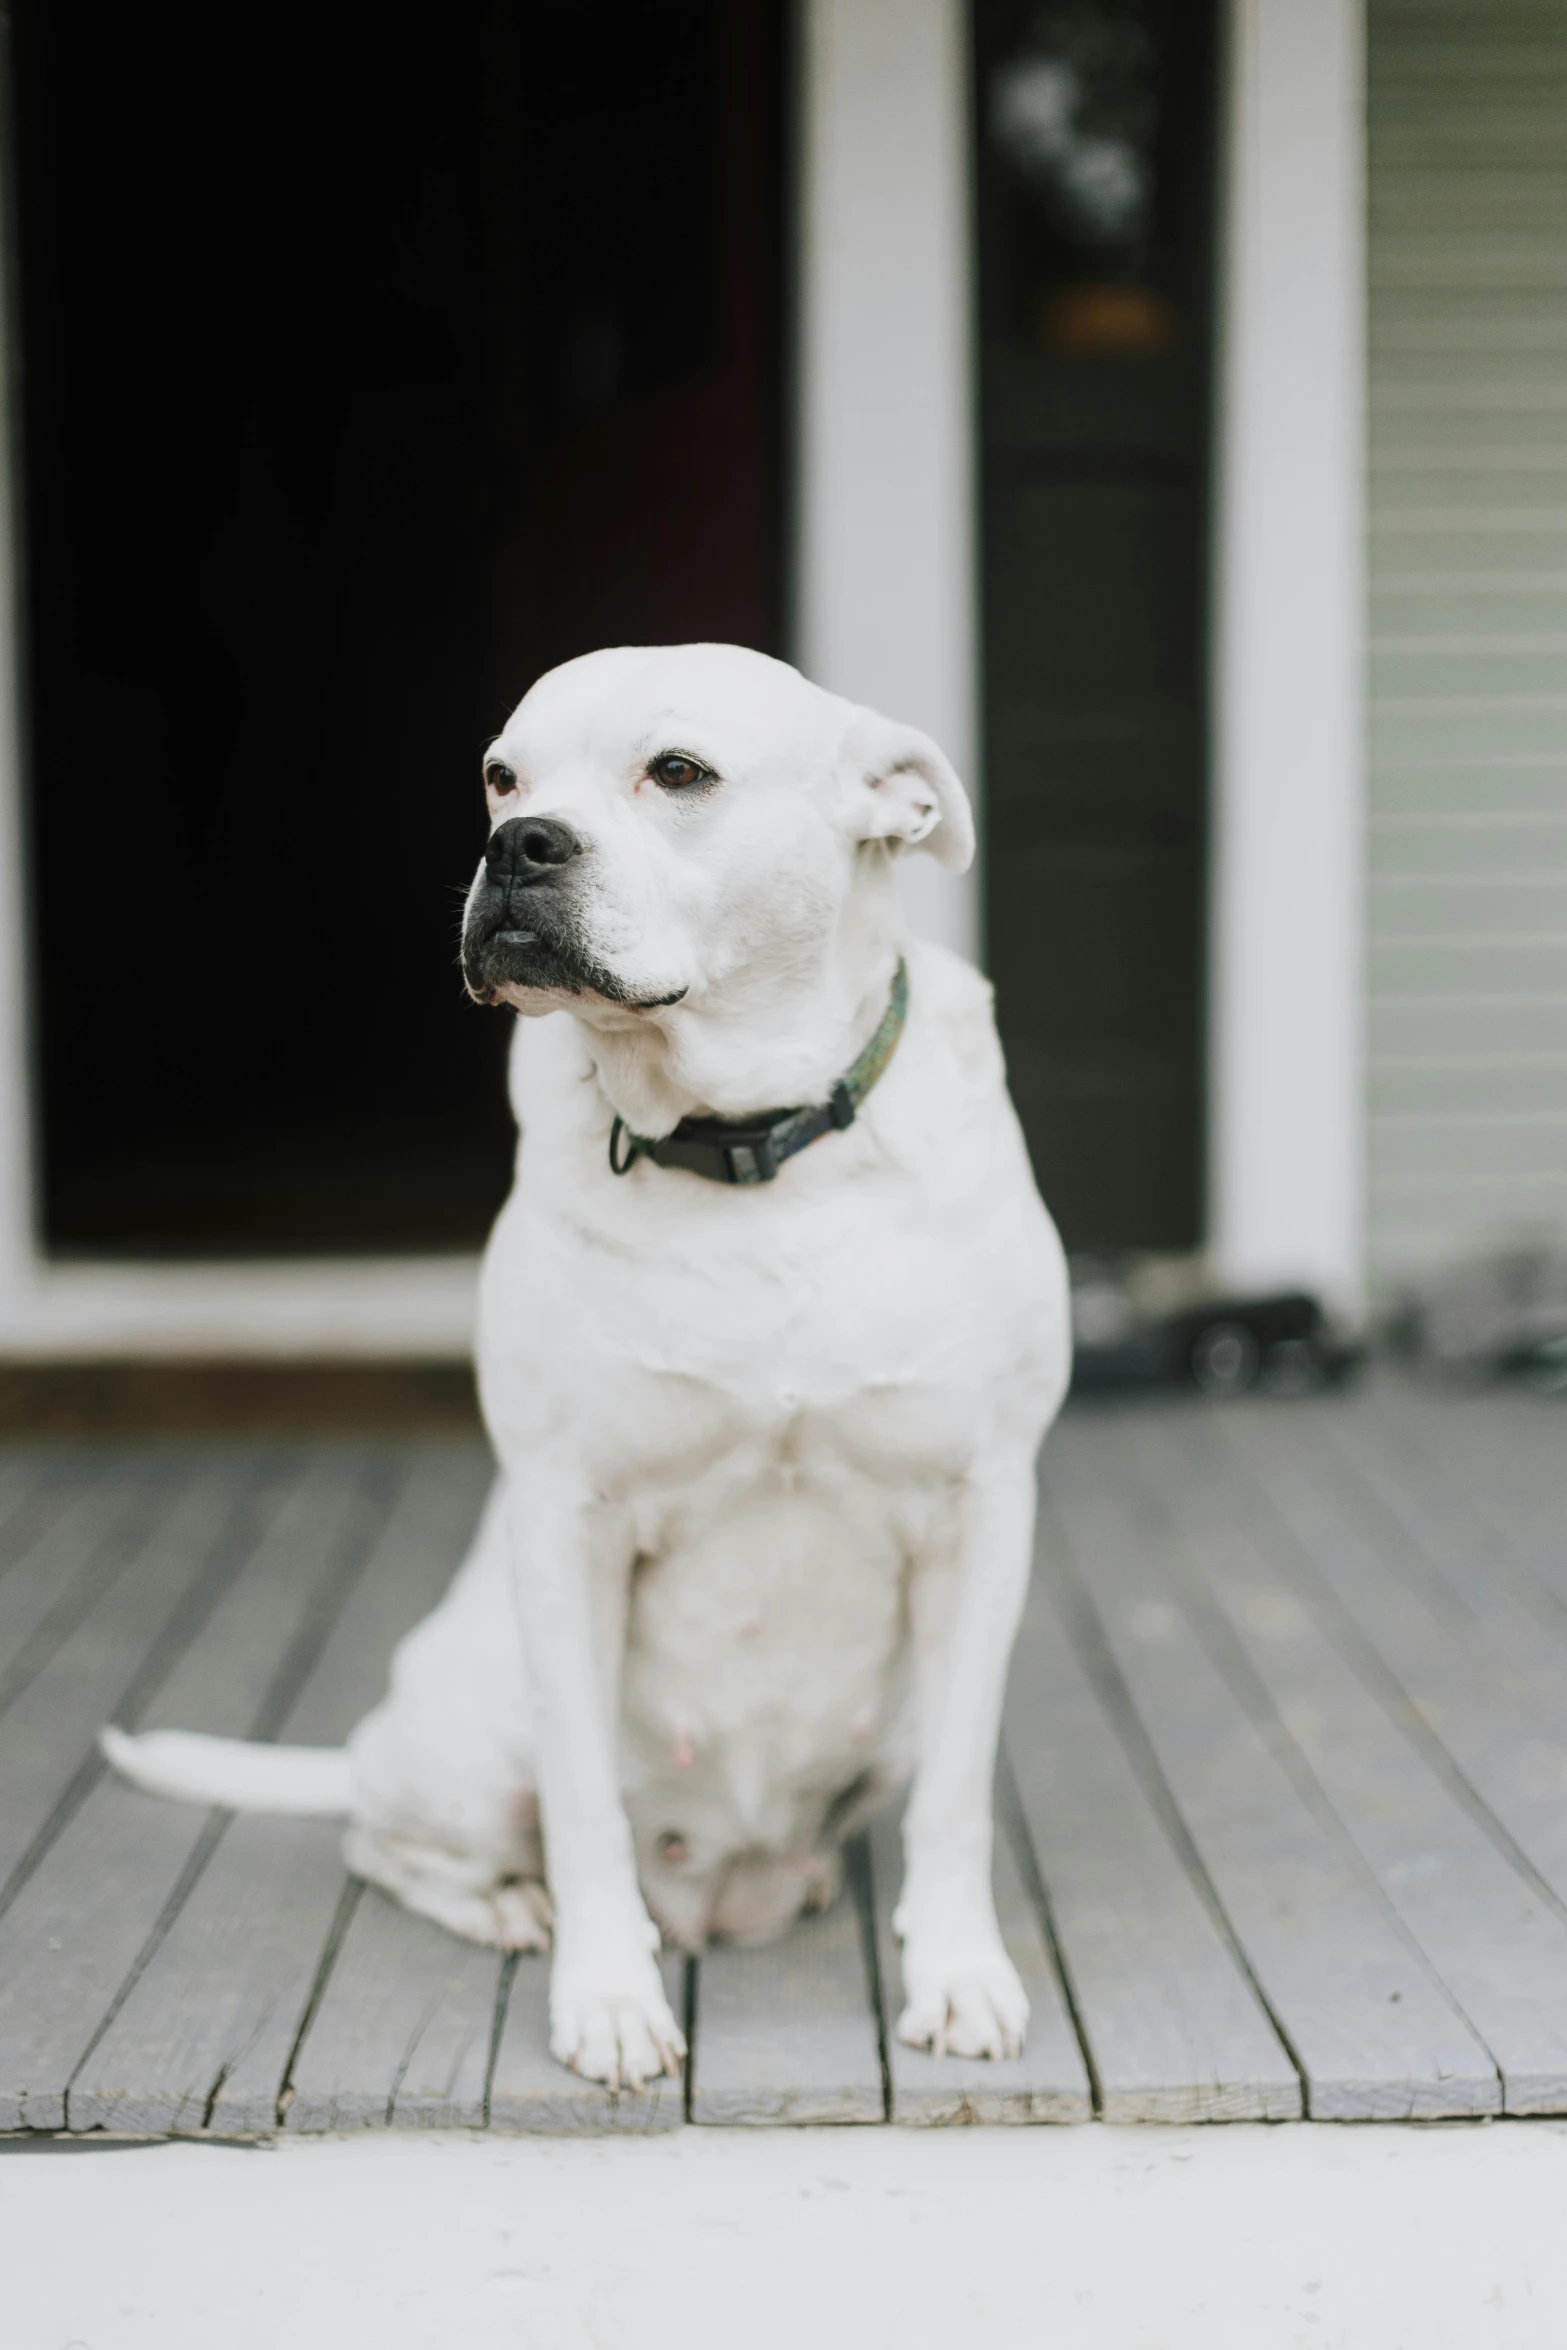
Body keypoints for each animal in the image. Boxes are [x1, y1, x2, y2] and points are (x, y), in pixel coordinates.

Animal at [107, 648, 1066, 2096]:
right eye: (501, 776)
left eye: (677, 771)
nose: (517, 846)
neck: (749, 1148)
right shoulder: (569, 1518)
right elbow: (582, 1805)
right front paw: (607, 1995)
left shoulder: (979, 1507)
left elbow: (956, 1794)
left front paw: (957, 1972)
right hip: (466, 1729)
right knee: (387, 1836)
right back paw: (512, 1904)